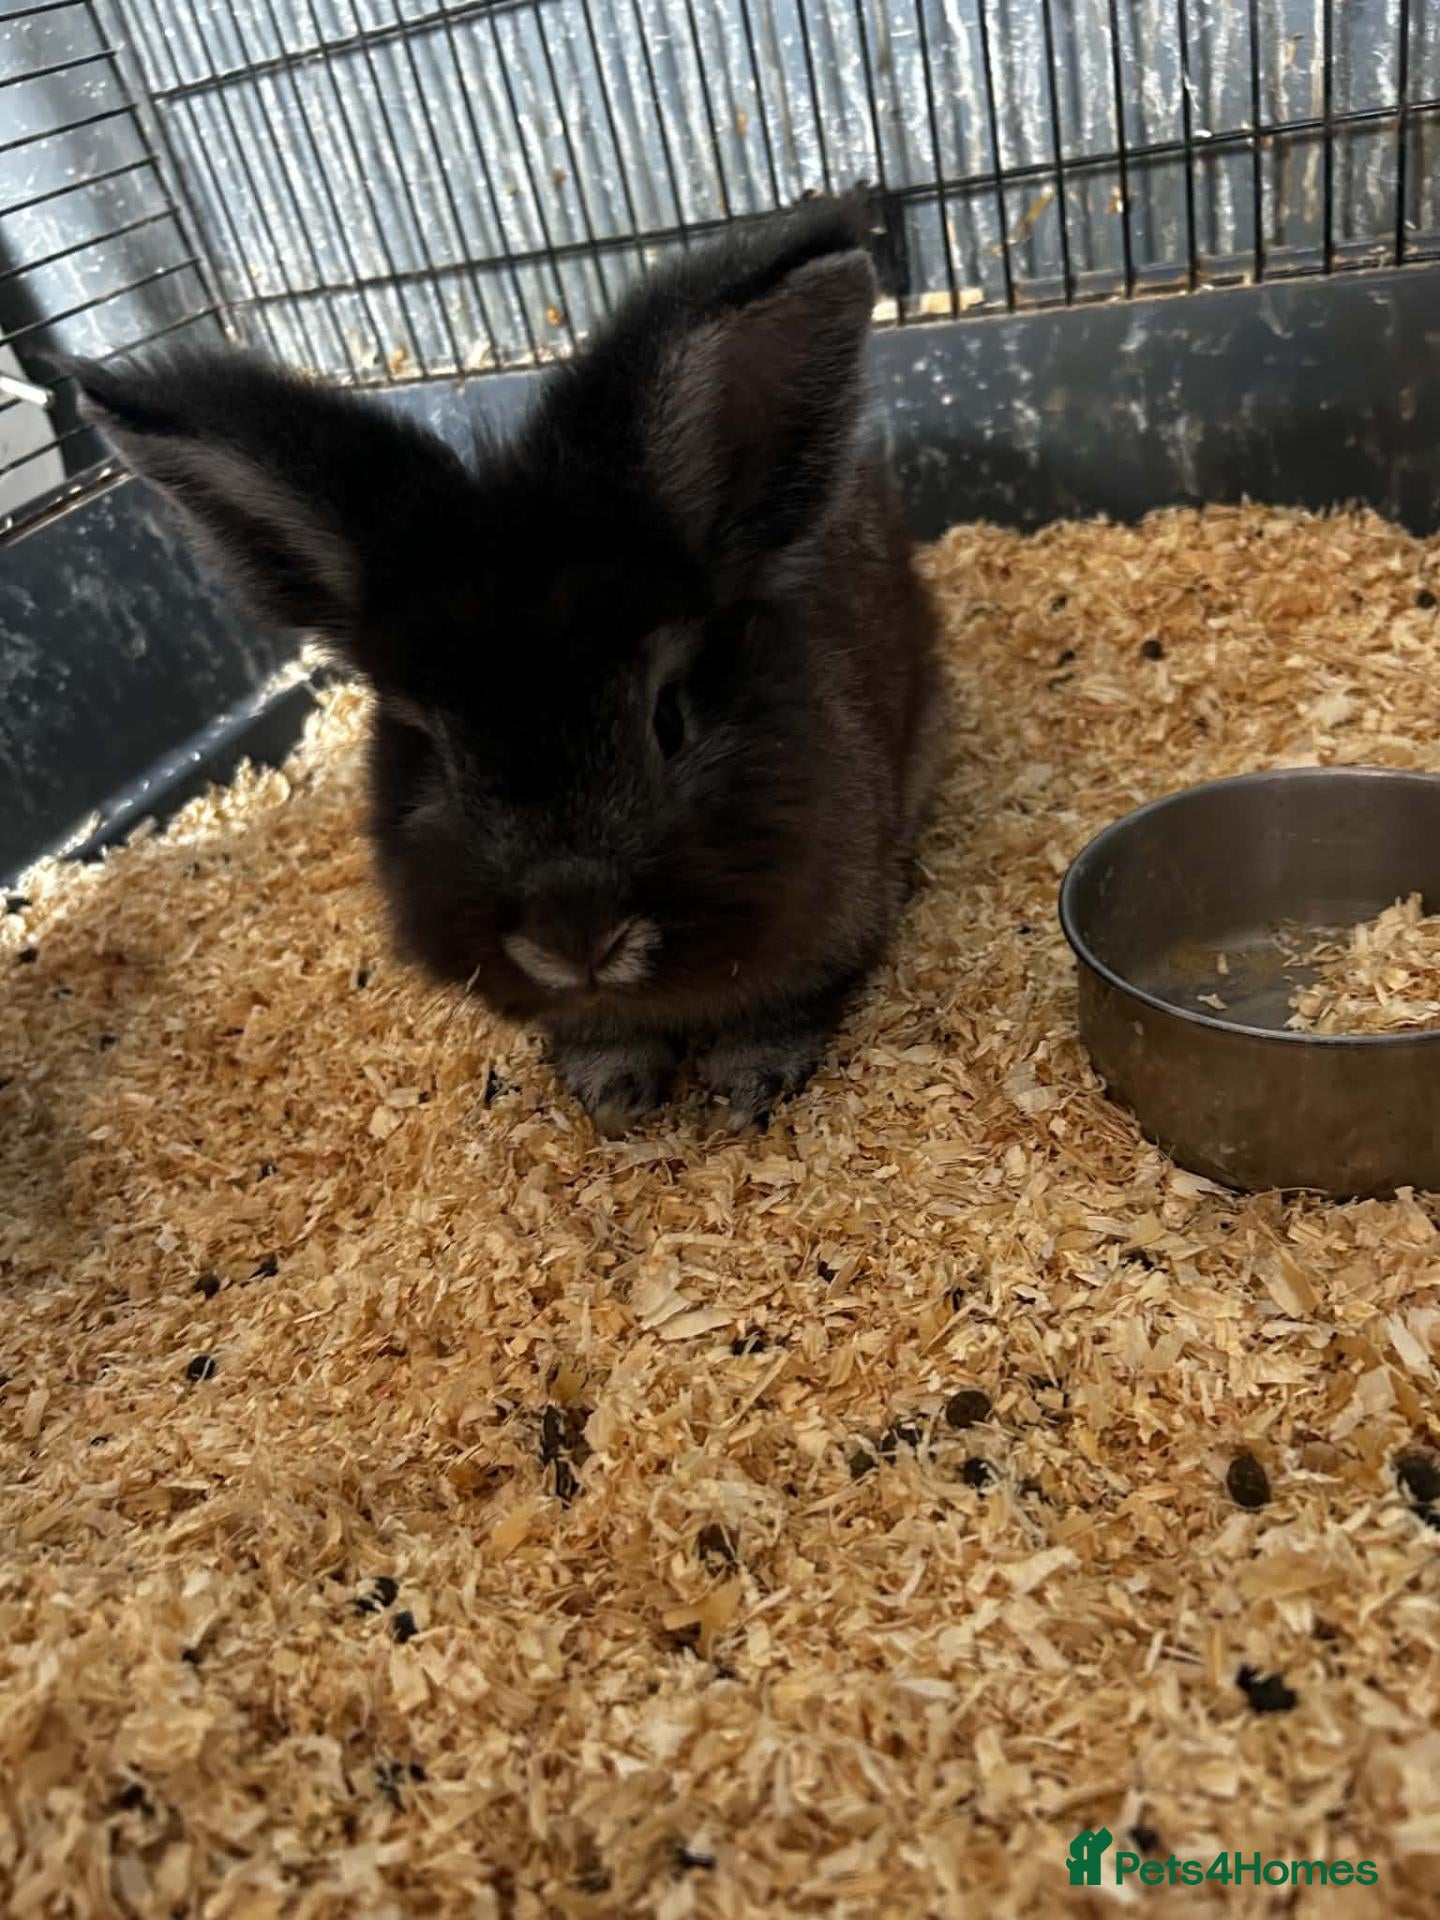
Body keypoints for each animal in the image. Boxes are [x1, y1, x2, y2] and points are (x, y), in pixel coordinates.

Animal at [73, 194, 944, 1133]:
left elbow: (778, 1014)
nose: (576, 936)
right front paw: (616, 1097)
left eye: (668, 719)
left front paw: (742, 1092)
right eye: (435, 750)